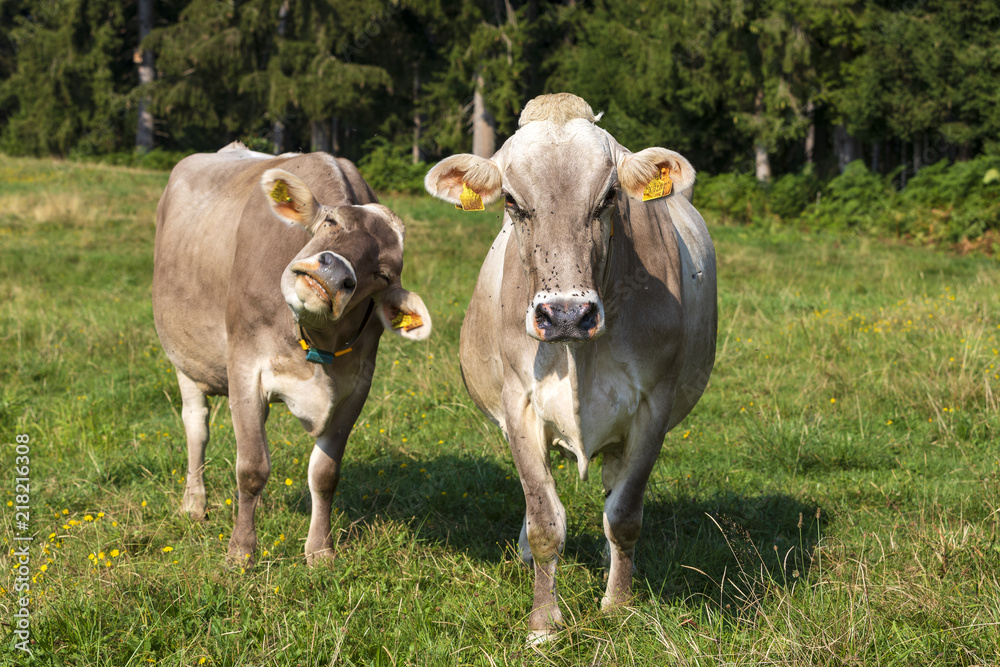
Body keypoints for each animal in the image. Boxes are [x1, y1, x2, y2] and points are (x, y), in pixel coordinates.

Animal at [426, 94, 716, 640]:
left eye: (609, 197)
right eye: (511, 200)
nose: (565, 314)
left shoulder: (654, 405)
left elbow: (623, 515)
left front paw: (618, 605)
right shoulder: (518, 403)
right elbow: (545, 519)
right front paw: (543, 622)